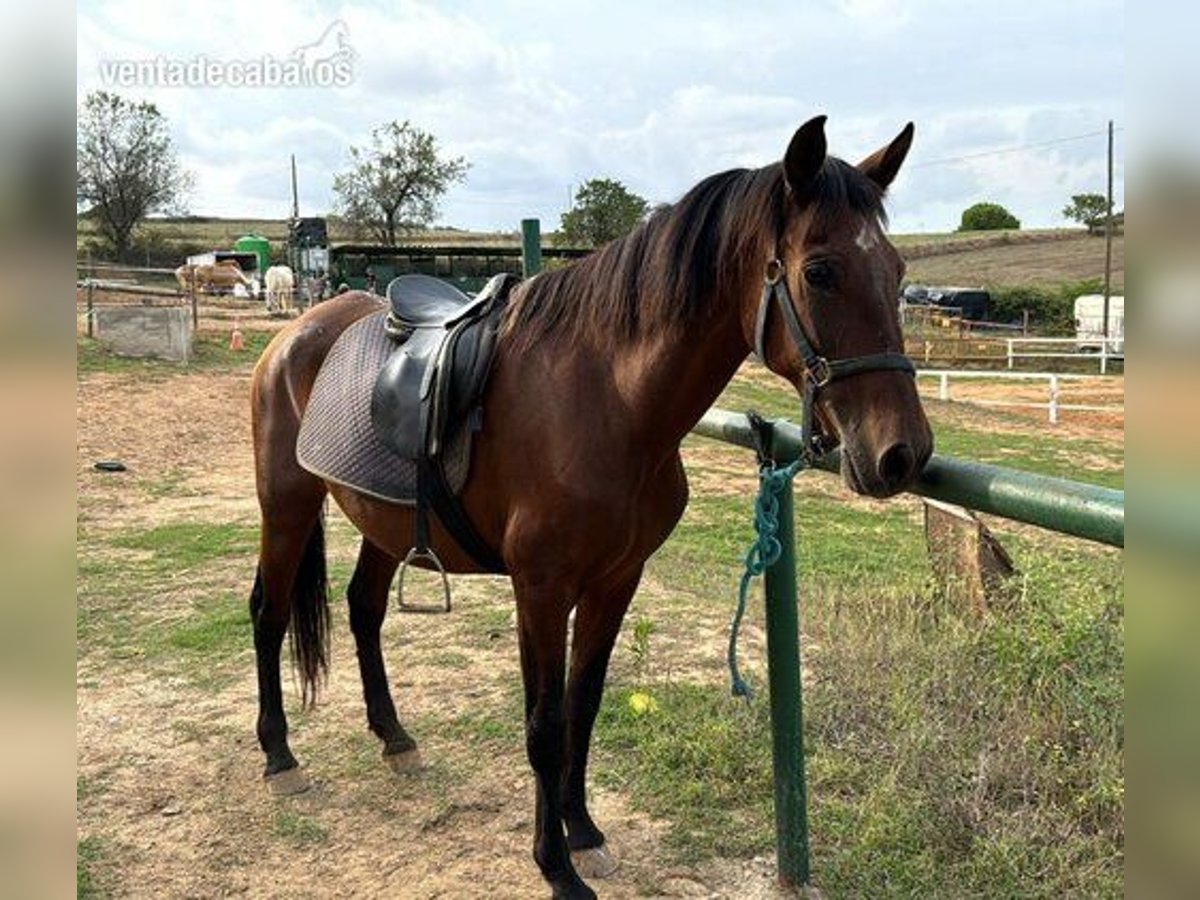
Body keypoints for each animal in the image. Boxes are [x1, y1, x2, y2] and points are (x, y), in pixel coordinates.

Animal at [248, 116, 931, 897]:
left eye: (898, 274)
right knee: (268, 613)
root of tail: (300, 329)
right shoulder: (541, 589)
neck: (607, 399)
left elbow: (586, 703)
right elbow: (545, 724)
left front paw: (583, 831)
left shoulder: (616, 579)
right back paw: (279, 756)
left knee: (363, 610)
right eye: (819, 271)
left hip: (382, 520)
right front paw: (557, 867)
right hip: (287, 505)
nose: (903, 454)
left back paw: (395, 738)